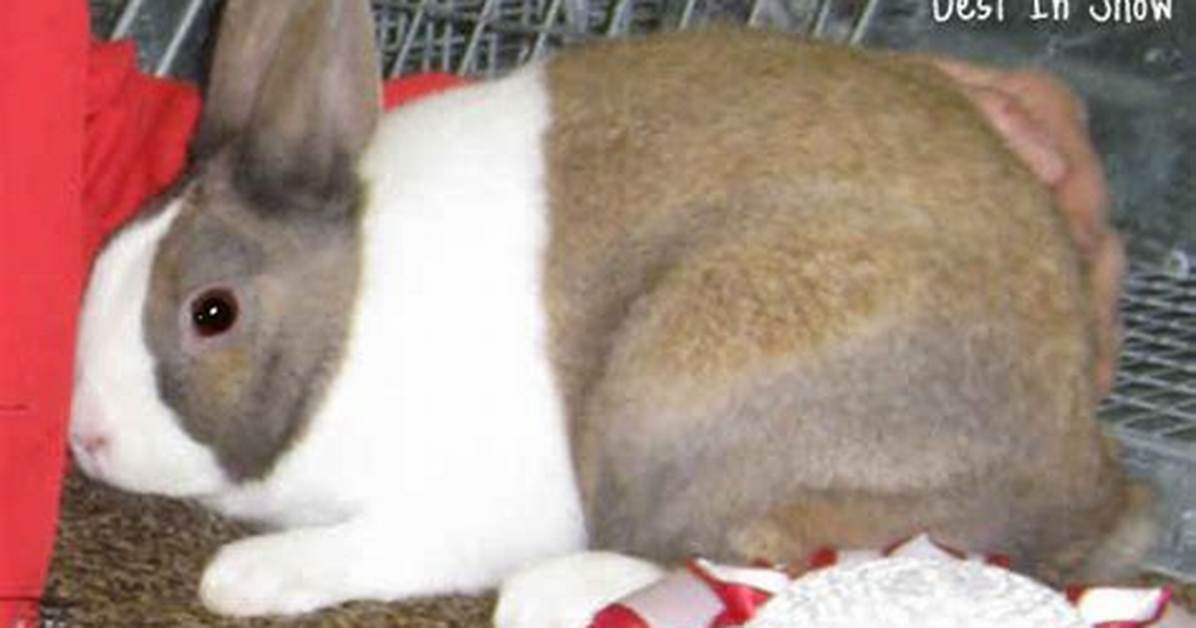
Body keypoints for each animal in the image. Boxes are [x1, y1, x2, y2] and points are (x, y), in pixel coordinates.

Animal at [69, 0, 1155, 619]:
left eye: (213, 312)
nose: (88, 440)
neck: (352, 306)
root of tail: (1085, 486)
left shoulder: (478, 506)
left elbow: (386, 547)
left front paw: (245, 579)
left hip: (678, 390)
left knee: (772, 550)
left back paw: (551, 595)